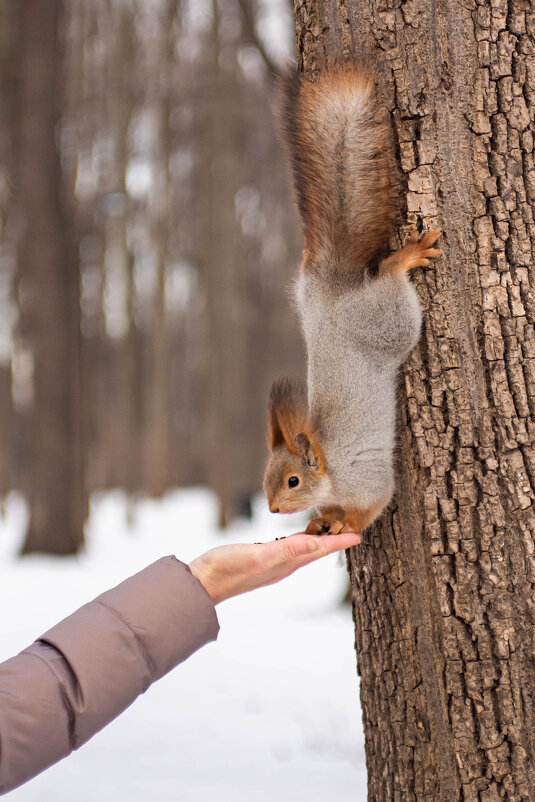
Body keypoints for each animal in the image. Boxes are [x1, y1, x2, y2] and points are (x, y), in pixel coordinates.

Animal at [264, 65, 444, 536]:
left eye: (293, 481)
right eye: (266, 476)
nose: (272, 509)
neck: (330, 474)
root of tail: (334, 298)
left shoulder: (368, 480)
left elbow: (372, 504)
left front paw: (345, 524)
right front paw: (319, 523)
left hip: (388, 318)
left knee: (390, 278)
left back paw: (404, 259)